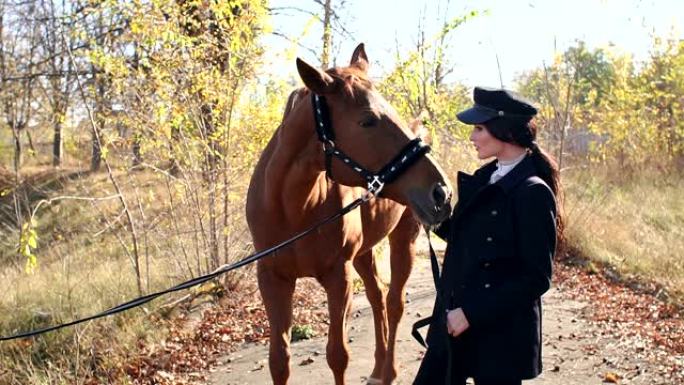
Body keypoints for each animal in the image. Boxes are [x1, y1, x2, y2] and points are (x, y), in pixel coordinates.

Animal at [247, 43, 454, 382]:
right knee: (377, 296)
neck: (293, 210)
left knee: (394, 303)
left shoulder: (338, 277)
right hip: (364, 253)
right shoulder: (272, 279)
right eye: (367, 120)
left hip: (403, 241)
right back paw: (378, 368)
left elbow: (337, 355)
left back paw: (389, 370)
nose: (442, 192)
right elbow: (279, 360)